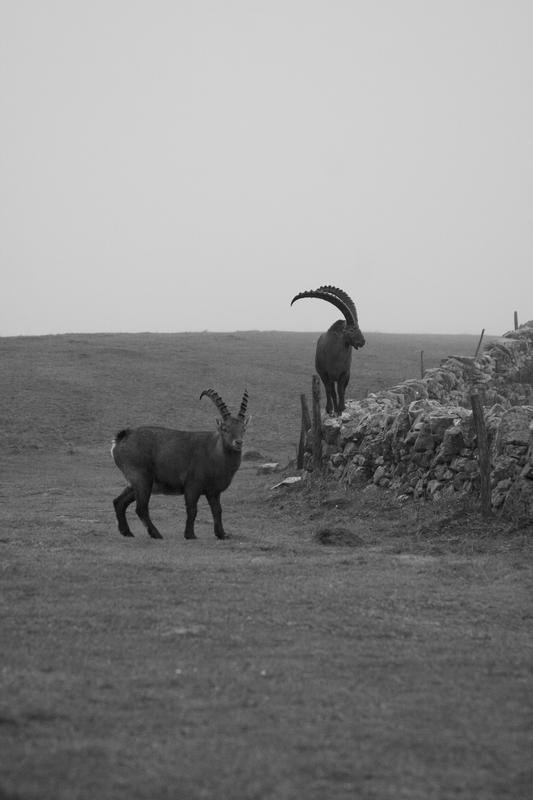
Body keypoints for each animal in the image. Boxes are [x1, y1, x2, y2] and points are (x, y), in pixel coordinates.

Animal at [111, 389, 249, 540]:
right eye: (225, 428)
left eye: (243, 428)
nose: (238, 442)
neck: (215, 455)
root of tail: (121, 439)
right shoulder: (192, 486)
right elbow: (192, 510)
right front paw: (190, 535)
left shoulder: (213, 491)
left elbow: (217, 511)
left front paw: (221, 534)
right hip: (142, 479)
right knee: (141, 508)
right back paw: (156, 534)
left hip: (136, 483)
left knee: (119, 502)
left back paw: (127, 532)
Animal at [291, 285, 365, 414]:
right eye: (351, 330)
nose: (362, 342)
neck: (335, 355)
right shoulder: (324, 374)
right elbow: (329, 391)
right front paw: (330, 409)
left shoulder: (344, 373)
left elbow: (341, 390)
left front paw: (341, 408)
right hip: (329, 377)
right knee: (332, 391)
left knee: (340, 390)